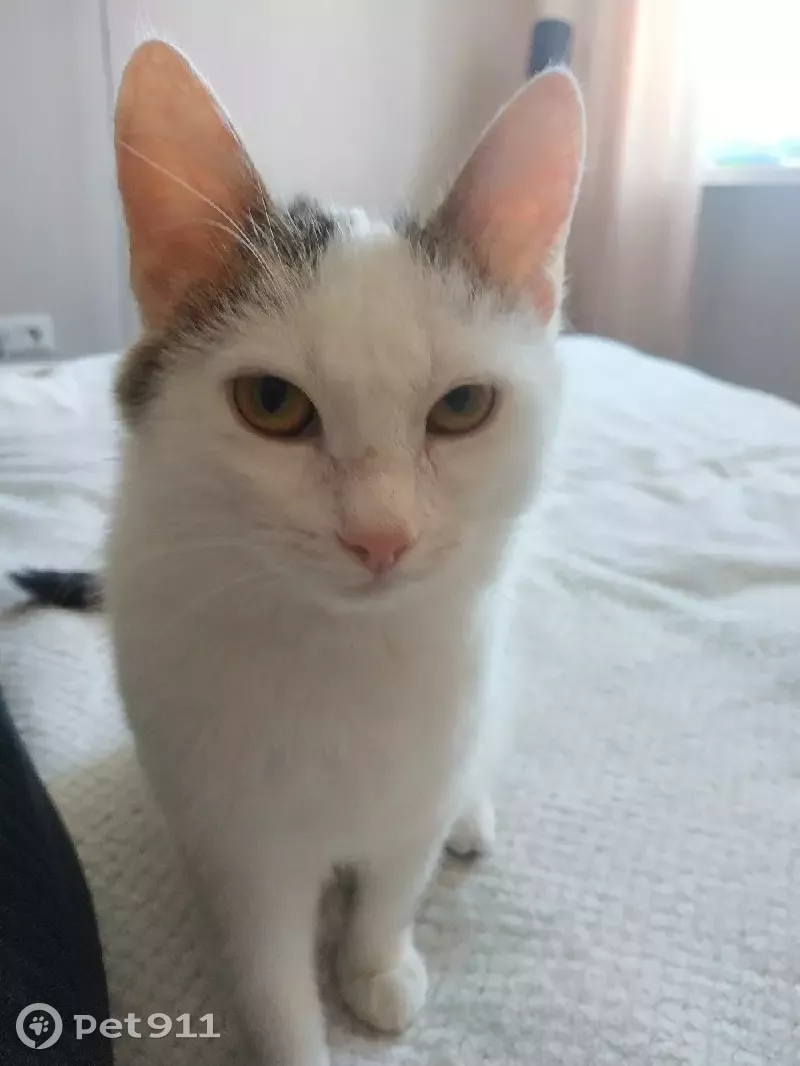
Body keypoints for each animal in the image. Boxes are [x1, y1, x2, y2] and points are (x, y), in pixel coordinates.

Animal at [15, 40, 584, 1066]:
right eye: (272, 405)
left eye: (462, 407)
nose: (380, 535)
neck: (344, 657)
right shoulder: (245, 850)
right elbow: (272, 975)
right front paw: (301, 1033)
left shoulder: (417, 783)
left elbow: (394, 884)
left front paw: (377, 963)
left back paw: (471, 816)